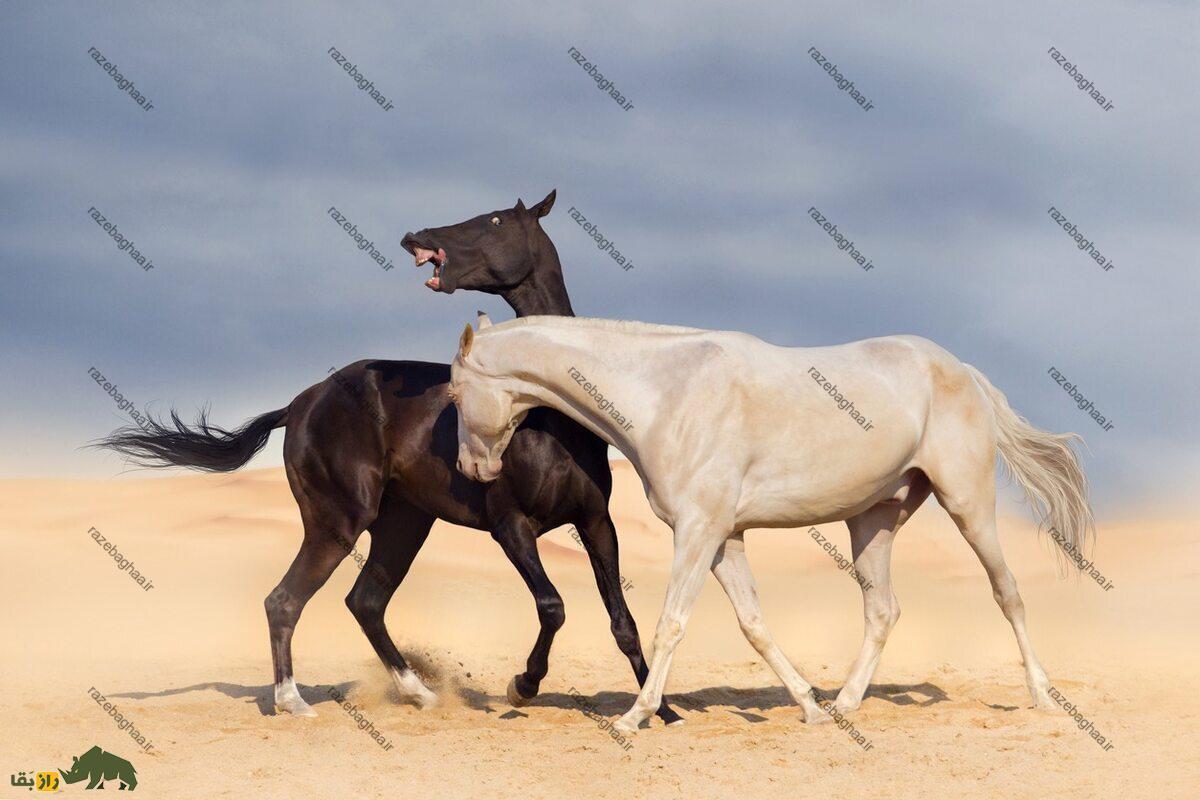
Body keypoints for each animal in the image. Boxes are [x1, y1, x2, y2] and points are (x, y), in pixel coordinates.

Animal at [98, 191, 681, 724]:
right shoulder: (510, 526)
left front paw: (662, 712)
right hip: (338, 524)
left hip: (403, 524)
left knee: (365, 602)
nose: (415, 236)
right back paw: (293, 702)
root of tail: (301, 403)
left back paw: (419, 693)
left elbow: (622, 621)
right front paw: (522, 686)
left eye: (495, 219)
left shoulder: (596, 521)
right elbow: (553, 606)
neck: (544, 416)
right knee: (285, 601)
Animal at [448, 314, 1099, 734]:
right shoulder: (723, 538)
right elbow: (753, 624)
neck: (666, 394)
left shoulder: (698, 531)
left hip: (968, 504)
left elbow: (670, 625)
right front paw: (808, 706)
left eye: (453, 392)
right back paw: (845, 705)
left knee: (1007, 594)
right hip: (873, 523)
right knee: (883, 611)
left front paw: (635, 718)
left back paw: (1042, 698)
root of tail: (958, 367)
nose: (471, 469)